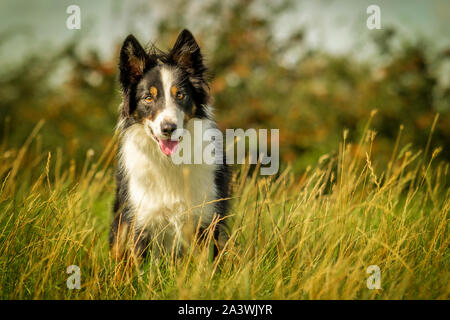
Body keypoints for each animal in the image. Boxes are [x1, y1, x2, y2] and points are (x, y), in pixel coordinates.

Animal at [108, 28, 229, 262]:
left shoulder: (205, 220)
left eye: (180, 95)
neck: (169, 162)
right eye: (148, 98)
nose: (168, 128)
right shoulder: (141, 221)